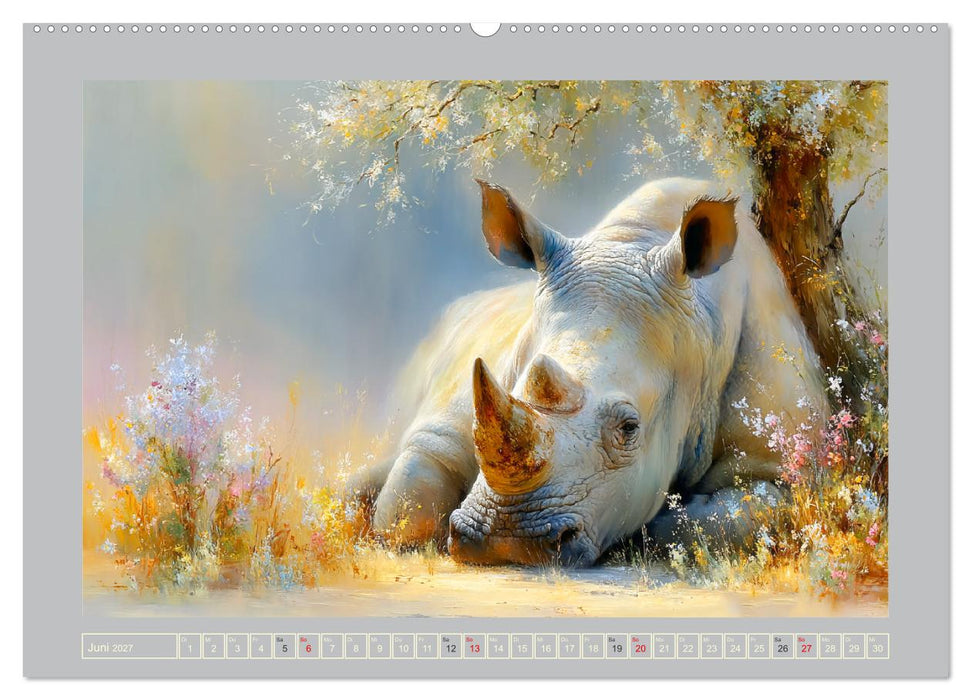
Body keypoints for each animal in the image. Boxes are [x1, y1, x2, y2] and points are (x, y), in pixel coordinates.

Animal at [353, 177, 826, 567]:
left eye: (630, 428)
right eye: (511, 385)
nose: (508, 542)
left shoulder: (780, 463)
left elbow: (741, 517)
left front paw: (653, 528)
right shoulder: (444, 427)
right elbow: (406, 508)